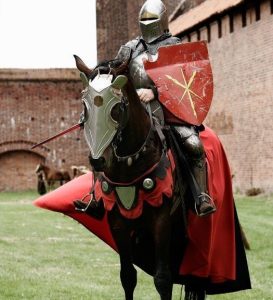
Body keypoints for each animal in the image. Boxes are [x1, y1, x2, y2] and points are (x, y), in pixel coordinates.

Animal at [72, 56, 206, 300]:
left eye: (117, 107)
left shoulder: (161, 222)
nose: (98, 161)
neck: (130, 163)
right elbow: (127, 276)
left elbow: (163, 279)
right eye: (85, 107)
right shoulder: (118, 223)